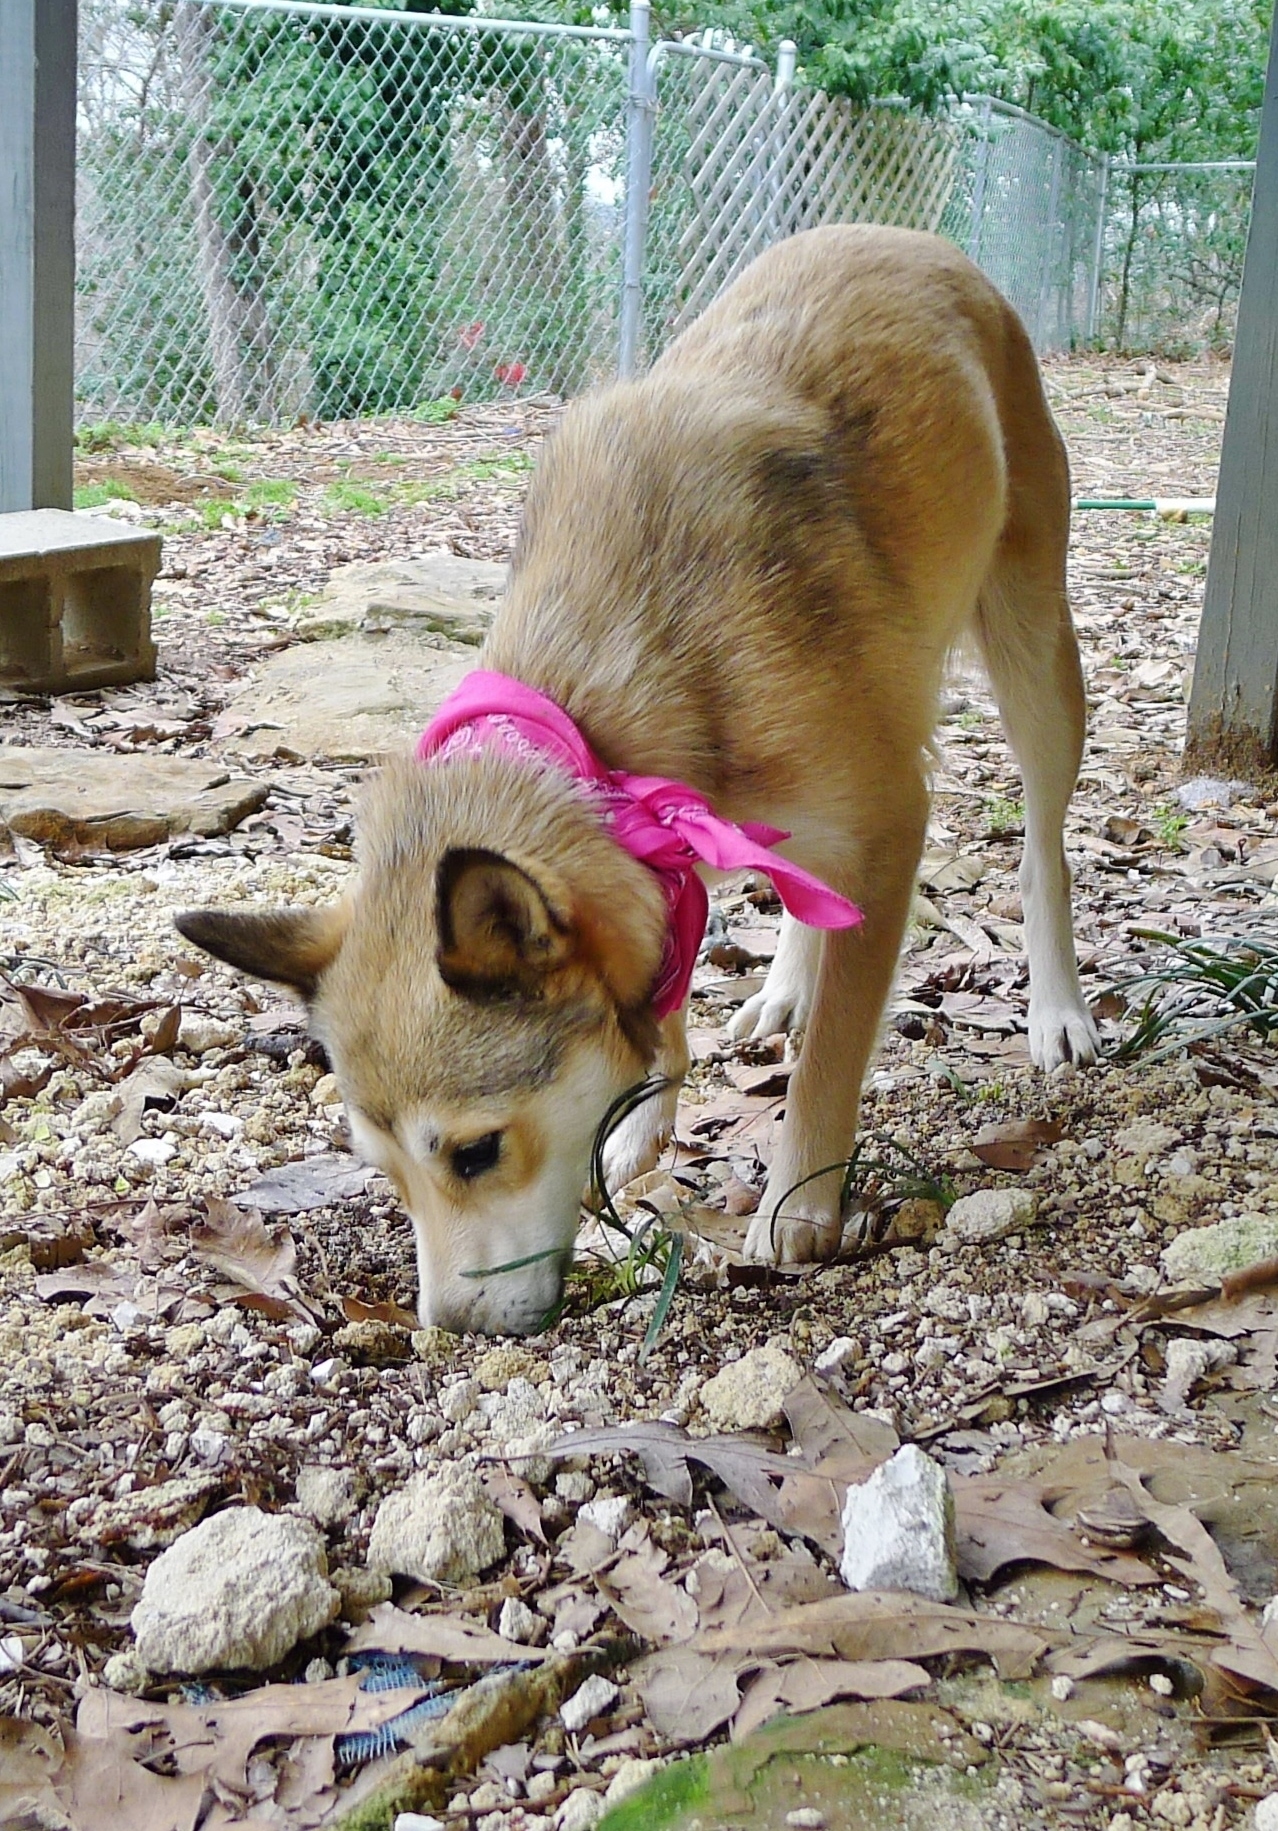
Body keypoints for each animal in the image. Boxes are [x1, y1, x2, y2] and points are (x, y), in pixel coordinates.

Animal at [176, 225, 1098, 1332]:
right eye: (385, 1171)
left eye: (476, 1152)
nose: (448, 1332)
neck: (605, 692)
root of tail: (916, 242)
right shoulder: (668, 848)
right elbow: (668, 996)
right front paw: (645, 1120)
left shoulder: (885, 823)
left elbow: (834, 1050)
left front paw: (799, 1198)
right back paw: (785, 988)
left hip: (1033, 655)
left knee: (1042, 847)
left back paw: (1055, 1008)